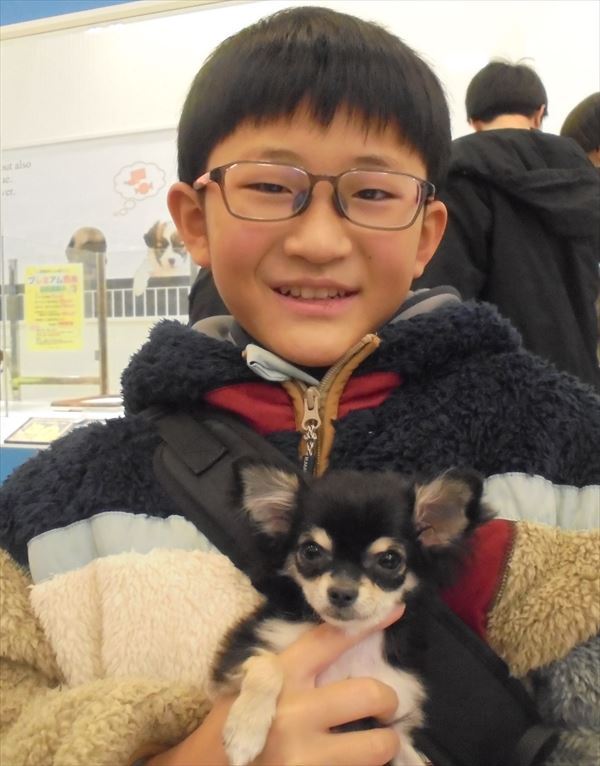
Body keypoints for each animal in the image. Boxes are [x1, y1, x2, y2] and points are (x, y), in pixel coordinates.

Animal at [212, 461, 492, 766]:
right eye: (311, 551)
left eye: (389, 560)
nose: (342, 593)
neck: (352, 641)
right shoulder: (236, 658)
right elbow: (267, 664)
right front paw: (245, 732)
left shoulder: (393, 726)